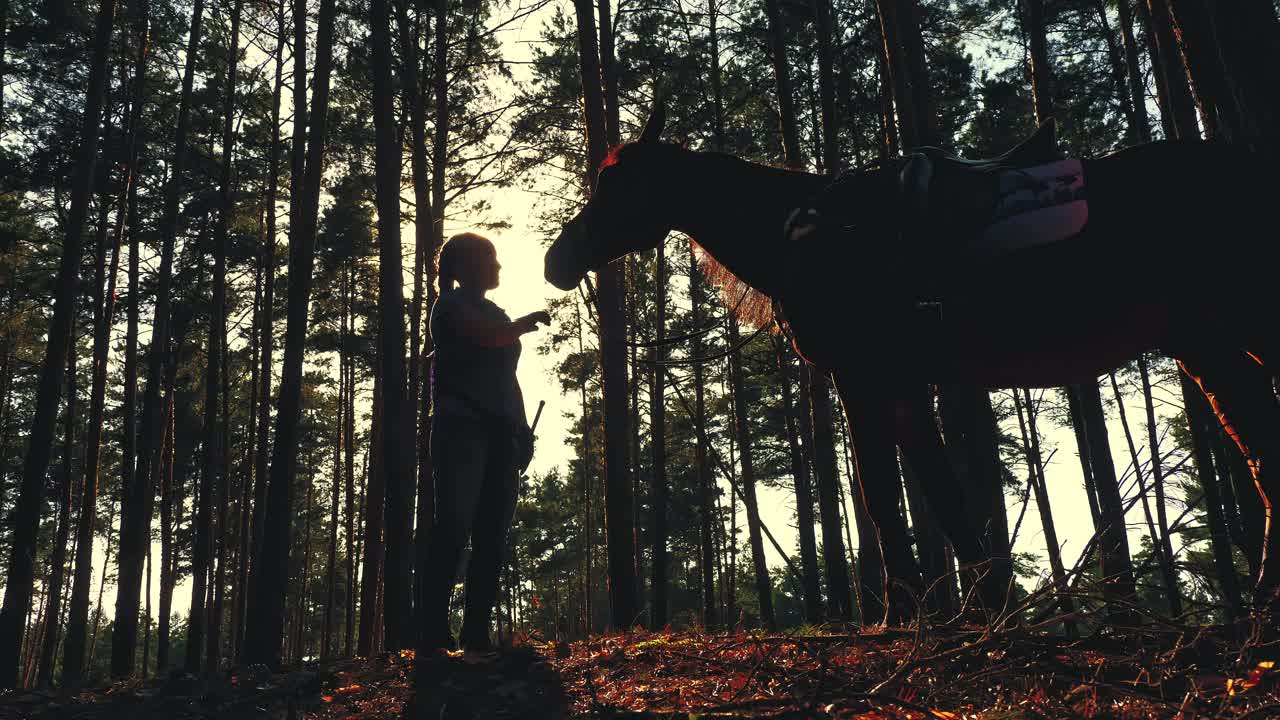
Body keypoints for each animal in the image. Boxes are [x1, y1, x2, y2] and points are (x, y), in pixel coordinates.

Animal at [547, 102, 1280, 622]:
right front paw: (989, 613)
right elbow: (944, 498)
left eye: (614, 182)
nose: (557, 259)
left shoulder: (864, 381)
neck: (810, 235)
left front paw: (901, 616)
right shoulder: (903, 390)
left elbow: (879, 494)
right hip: (1200, 340)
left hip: (1245, 316)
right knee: (1255, 437)